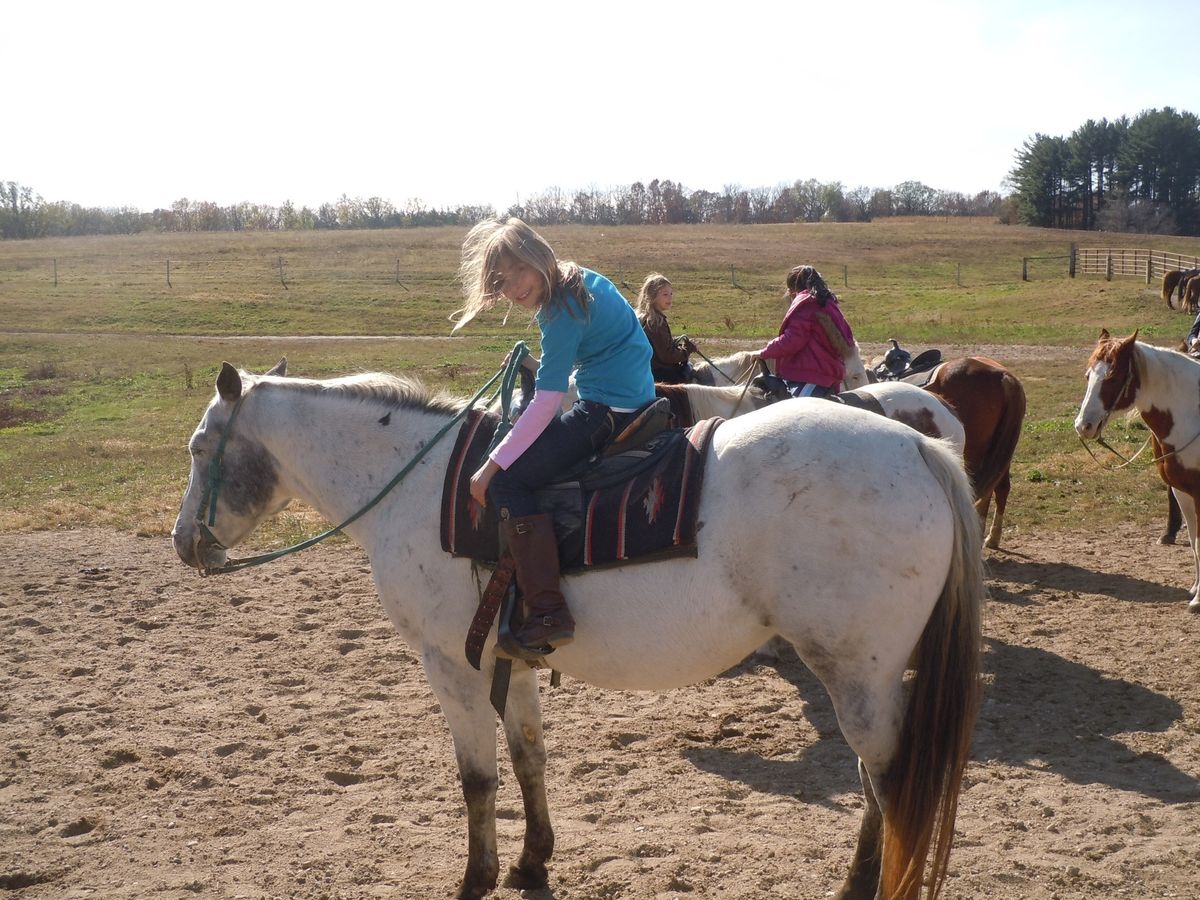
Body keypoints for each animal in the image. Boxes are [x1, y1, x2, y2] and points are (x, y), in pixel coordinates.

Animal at [175, 360, 984, 900]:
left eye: (198, 449)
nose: (186, 544)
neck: (417, 486)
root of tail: (917, 447)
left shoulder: (451, 665)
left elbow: (476, 778)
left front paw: (476, 878)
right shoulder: (511, 662)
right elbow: (528, 759)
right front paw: (533, 860)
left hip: (857, 675)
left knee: (890, 783)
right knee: (877, 785)